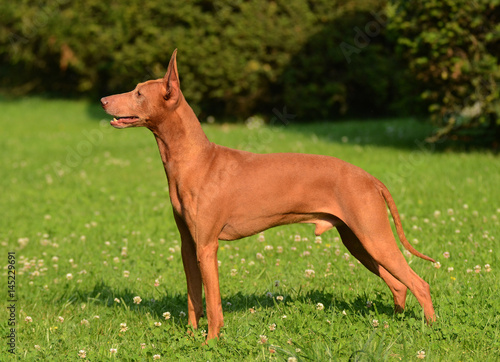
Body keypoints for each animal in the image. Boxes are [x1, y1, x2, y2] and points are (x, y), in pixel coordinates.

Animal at [99, 48, 436, 342]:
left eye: (138, 93)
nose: (103, 100)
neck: (196, 160)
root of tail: (370, 178)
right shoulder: (188, 246)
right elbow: (194, 299)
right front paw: (191, 337)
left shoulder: (207, 246)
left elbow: (213, 303)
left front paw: (211, 342)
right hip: (359, 243)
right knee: (399, 286)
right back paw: (393, 323)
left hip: (374, 238)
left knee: (419, 284)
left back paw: (431, 329)